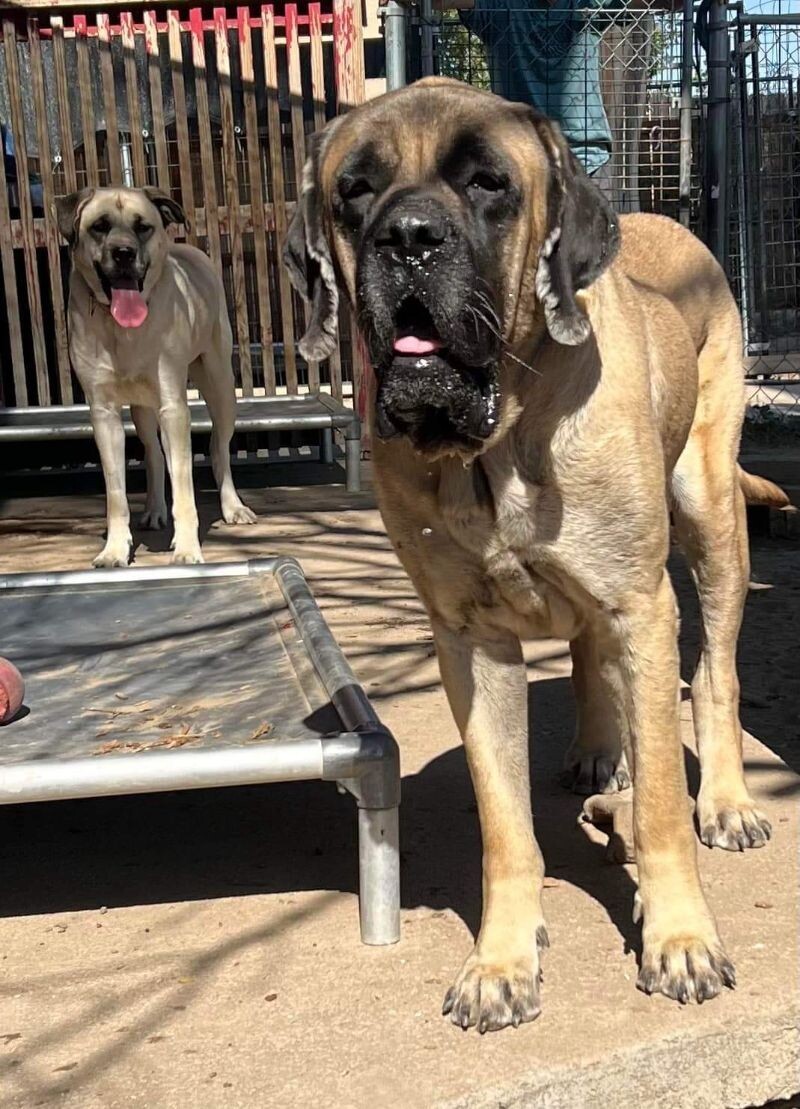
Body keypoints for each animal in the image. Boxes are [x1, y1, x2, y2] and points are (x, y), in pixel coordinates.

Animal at [284, 78, 790, 1029]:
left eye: (488, 183)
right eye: (354, 192)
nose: (408, 237)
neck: (498, 445)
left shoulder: (641, 604)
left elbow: (659, 805)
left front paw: (680, 938)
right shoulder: (469, 642)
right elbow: (502, 822)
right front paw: (501, 959)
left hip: (708, 511)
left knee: (716, 670)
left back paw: (727, 800)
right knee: (593, 655)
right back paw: (598, 748)